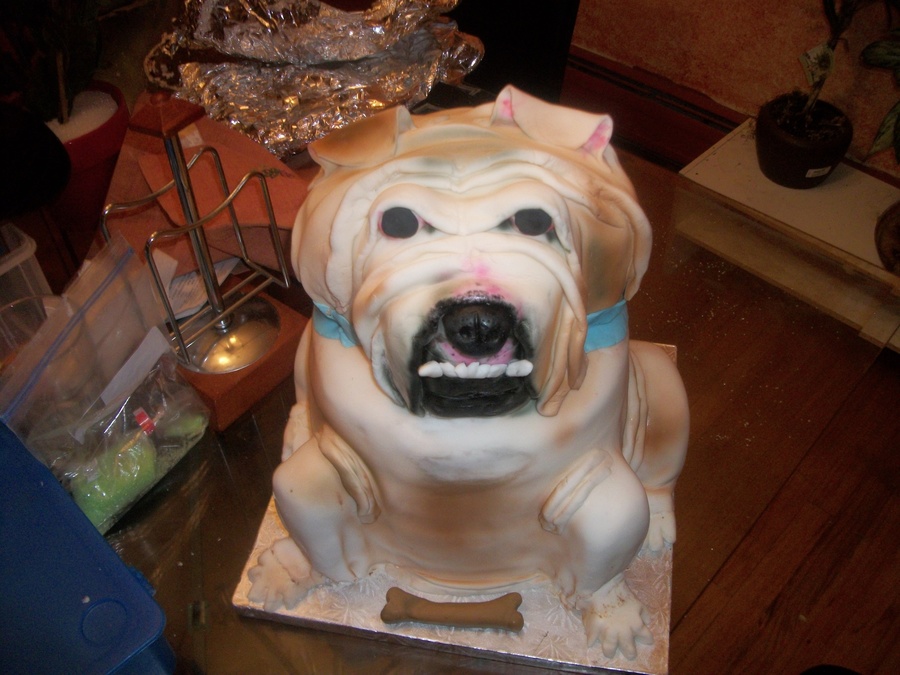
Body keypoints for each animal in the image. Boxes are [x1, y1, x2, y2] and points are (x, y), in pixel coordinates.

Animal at [249, 85, 689, 660]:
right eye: (399, 222)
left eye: (533, 221)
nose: (477, 323)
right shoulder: (328, 470)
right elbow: (312, 516)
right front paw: (291, 566)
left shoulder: (601, 490)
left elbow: (606, 550)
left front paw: (614, 616)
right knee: (300, 437)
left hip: (662, 383)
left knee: (655, 477)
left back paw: (659, 525)